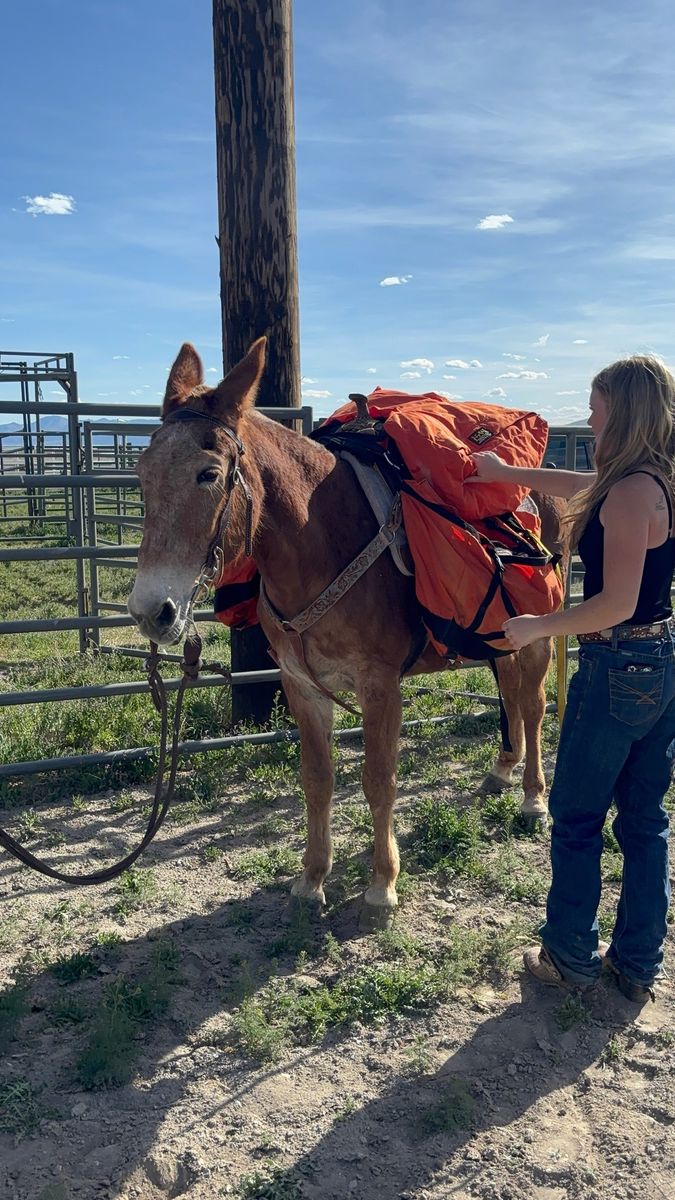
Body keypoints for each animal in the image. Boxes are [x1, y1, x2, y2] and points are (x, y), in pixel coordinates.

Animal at [128, 338, 565, 927]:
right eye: (142, 471)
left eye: (209, 474)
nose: (151, 611)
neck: (322, 541)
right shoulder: (302, 686)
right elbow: (318, 781)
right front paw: (312, 880)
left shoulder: (380, 685)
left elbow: (379, 781)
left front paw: (382, 886)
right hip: (500, 634)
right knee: (511, 693)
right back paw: (501, 770)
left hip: (537, 634)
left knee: (534, 704)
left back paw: (534, 799)